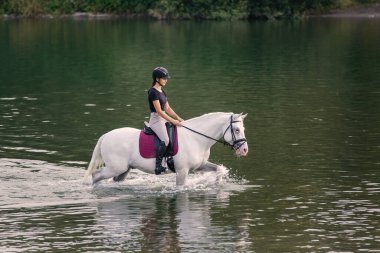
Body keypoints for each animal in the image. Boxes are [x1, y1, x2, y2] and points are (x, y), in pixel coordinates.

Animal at [84, 112, 248, 186]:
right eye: (237, 130)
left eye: (243, 129)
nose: (244, 150)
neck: (195, 138)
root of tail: (106, 136)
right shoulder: (182, 171)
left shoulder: (199, 166)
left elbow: (219, 169)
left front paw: (217, 183)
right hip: (115, 168)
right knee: (96, 175)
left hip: (124, 169)